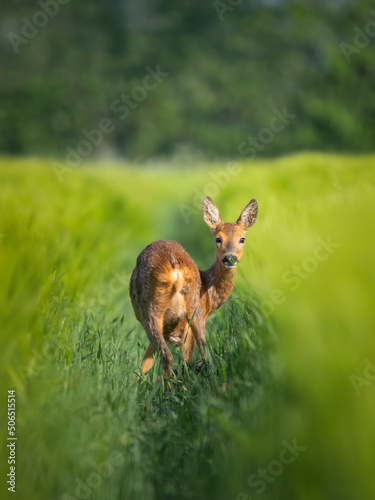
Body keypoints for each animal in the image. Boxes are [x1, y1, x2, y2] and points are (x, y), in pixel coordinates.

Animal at [130, 195, 258, 378]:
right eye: (218, 238)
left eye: (242, 239)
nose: (230, 258)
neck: (209, 290)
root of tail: (174, 265)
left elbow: (145, 366)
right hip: (185, 309)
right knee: (199, 355)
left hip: (155, 310)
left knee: (174, 358)